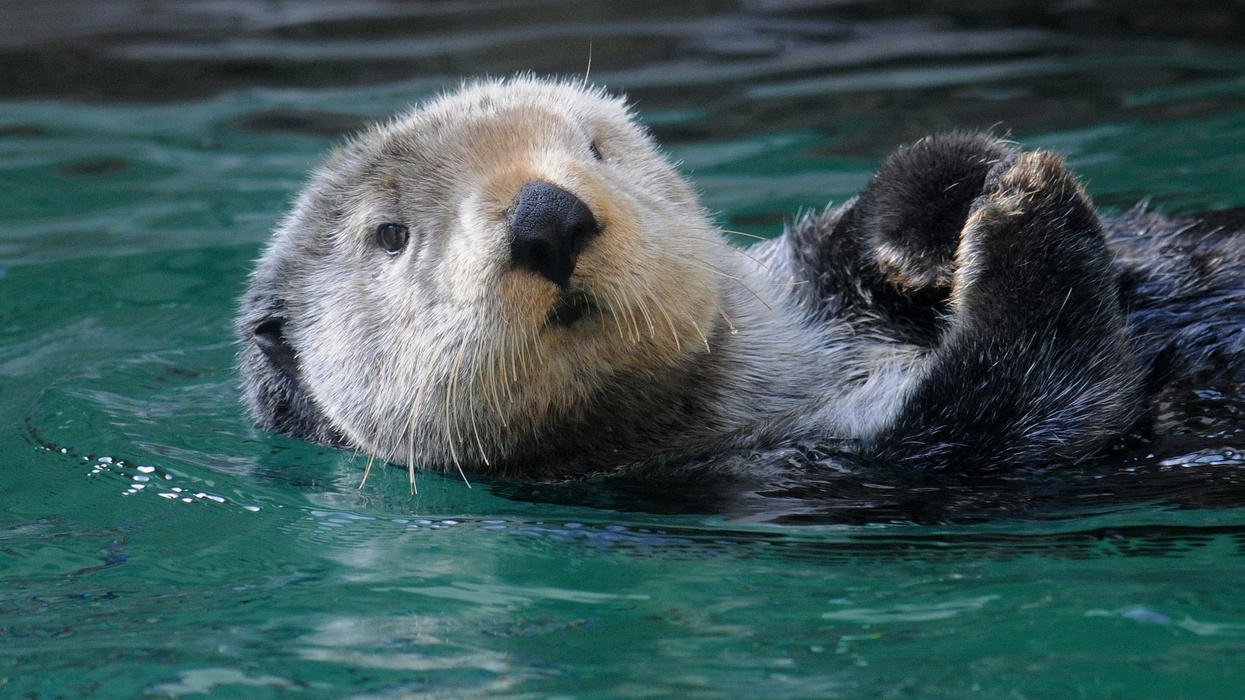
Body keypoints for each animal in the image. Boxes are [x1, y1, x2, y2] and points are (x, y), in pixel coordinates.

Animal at [237, 76, 1245, 484]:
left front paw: (943, 208)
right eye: (390, 234)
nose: (546, 217)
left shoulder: (805, 277)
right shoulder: (821, 465)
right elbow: (1037, 400)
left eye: (593, 149)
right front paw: (1021, 208)